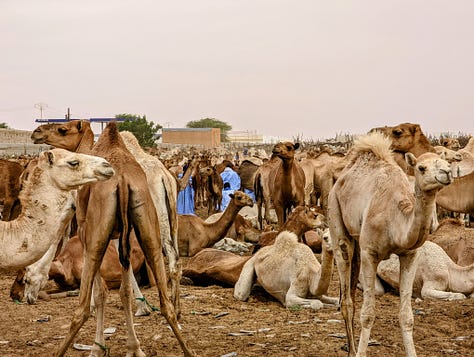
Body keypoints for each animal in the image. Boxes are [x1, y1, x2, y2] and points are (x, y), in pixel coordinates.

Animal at [32, 121, 194, 354]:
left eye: (63, 129)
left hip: (101, 234)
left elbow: (101, 290)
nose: (36, 132)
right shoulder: (121, 235)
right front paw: (135, 341)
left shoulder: (87, 230)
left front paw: (99, 346)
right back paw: (180, 324)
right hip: (156, 224)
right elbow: (124, 287)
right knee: (171, 272)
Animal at [328, 131, 454, 356]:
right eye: (421, 168)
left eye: (447, 162)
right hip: (335, 217)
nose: (446, 172)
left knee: (351, 293)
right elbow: (368, 314)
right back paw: (352, 351)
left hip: (357, 242)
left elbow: (407, 316)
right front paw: (362, 353)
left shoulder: (410, 254)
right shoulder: (370, 252)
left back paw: (350, 347)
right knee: (347, 298)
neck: (396, 218)